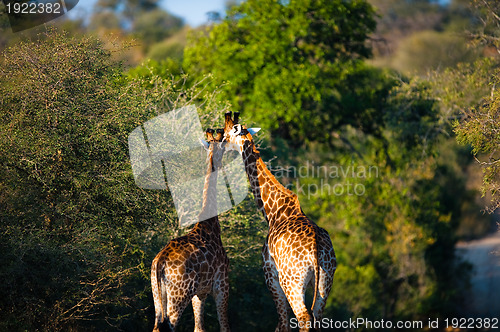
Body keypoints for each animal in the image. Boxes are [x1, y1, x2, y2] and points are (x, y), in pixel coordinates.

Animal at [151, 128, 231, 332]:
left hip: (157, 295)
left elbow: (199, 327)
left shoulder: (199, 293)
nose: (223, 162)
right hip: (179, 295)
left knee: (156, 325)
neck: (210, 222)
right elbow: (224, 326)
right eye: (223, 147)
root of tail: (160, 262)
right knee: (170, 325)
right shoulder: (222, 285)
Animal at [219, 113, 336, 330]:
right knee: (317, 317)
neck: (274, 212)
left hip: (291, 282)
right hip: (325, 281)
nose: (219, 145)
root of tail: (316, 252)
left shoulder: (270, 275)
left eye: (226, 135)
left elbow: (281, 323)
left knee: (303, 318)